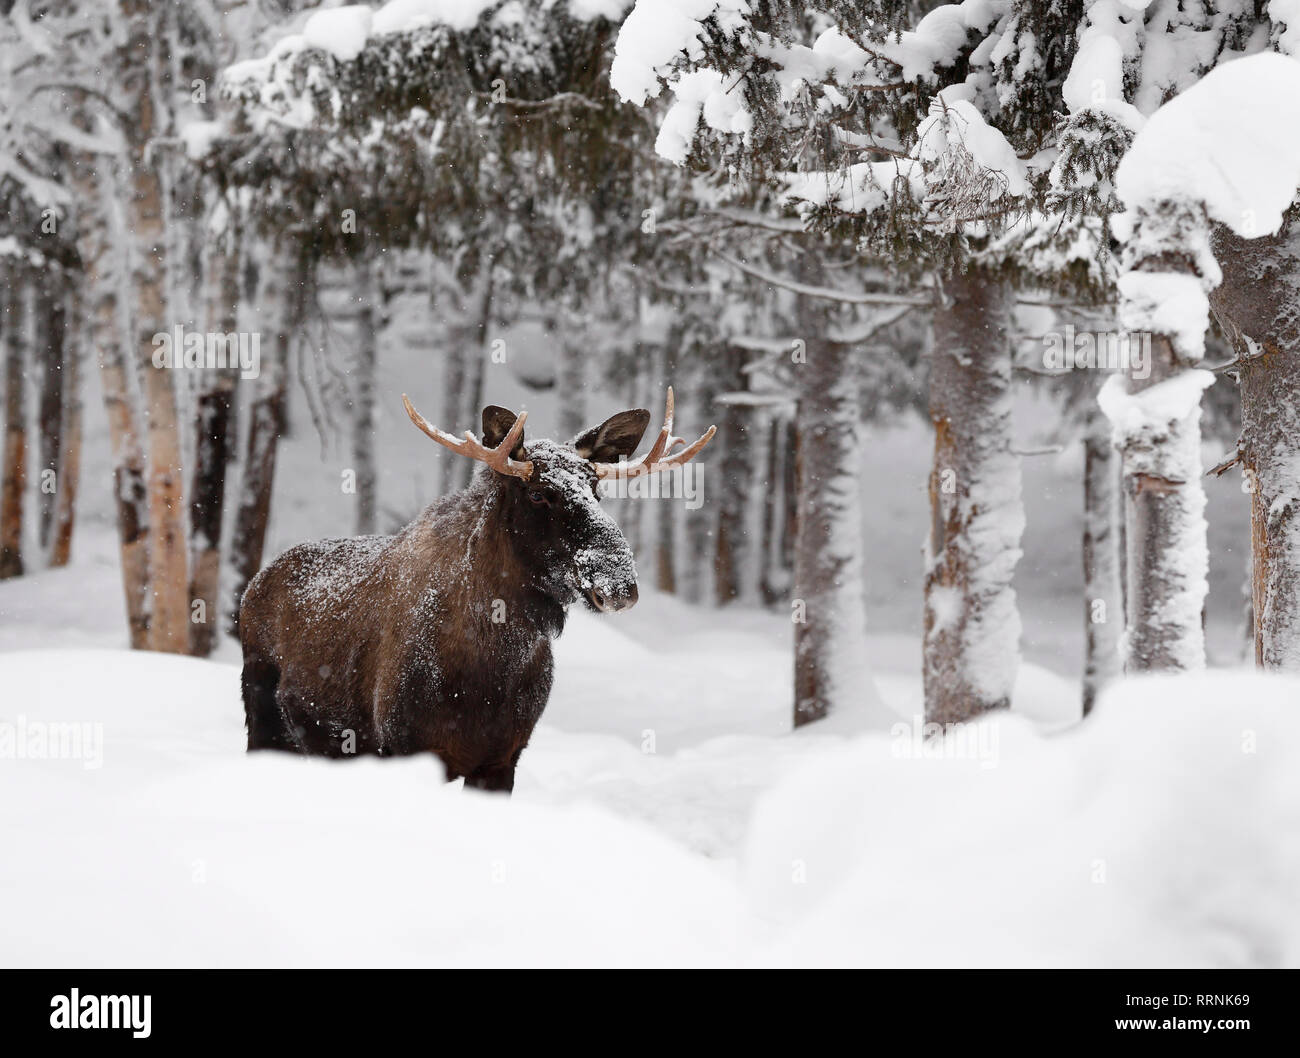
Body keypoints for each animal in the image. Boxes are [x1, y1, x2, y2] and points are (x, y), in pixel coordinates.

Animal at [237, 387, 715, 793]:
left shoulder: (503, 758)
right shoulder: (404, 748)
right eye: (538, 493)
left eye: (595, 488)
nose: (620, 584)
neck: (491, 667)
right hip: (264, 719)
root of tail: (251, 588)